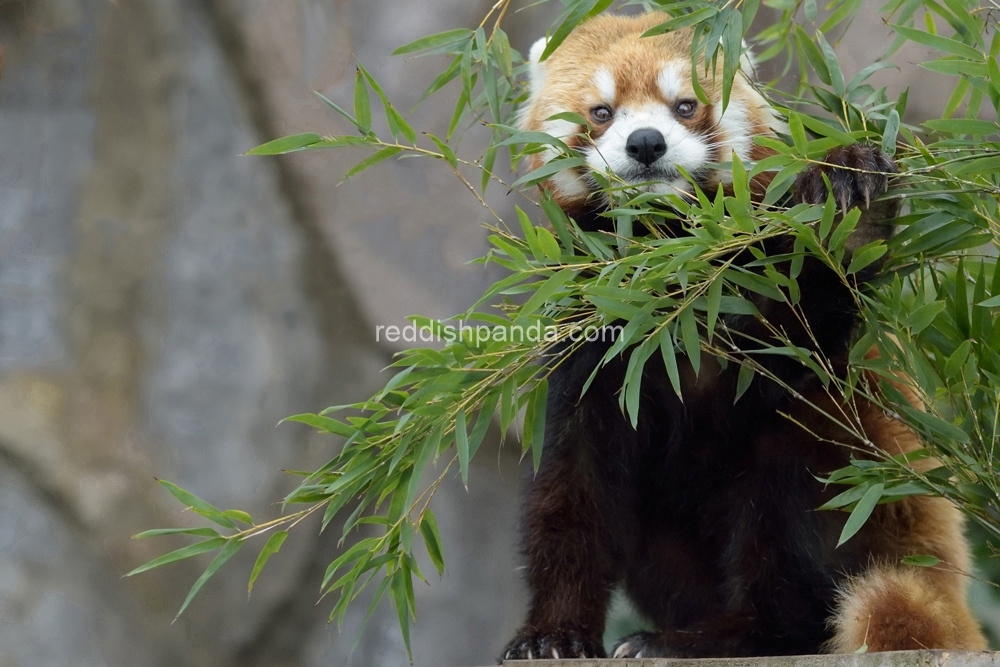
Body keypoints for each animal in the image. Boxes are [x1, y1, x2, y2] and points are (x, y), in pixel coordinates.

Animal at [504, 10, 988, 664]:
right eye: (601, 112)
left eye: (685, 105)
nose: (646, 143)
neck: (673, 274)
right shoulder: (593, 331)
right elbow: (573, 486)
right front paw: (553, 634)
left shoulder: (763, 288)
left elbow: (805, 344)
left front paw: (849, 214)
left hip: (868, 497)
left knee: (785, 492)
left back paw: (721, 635)